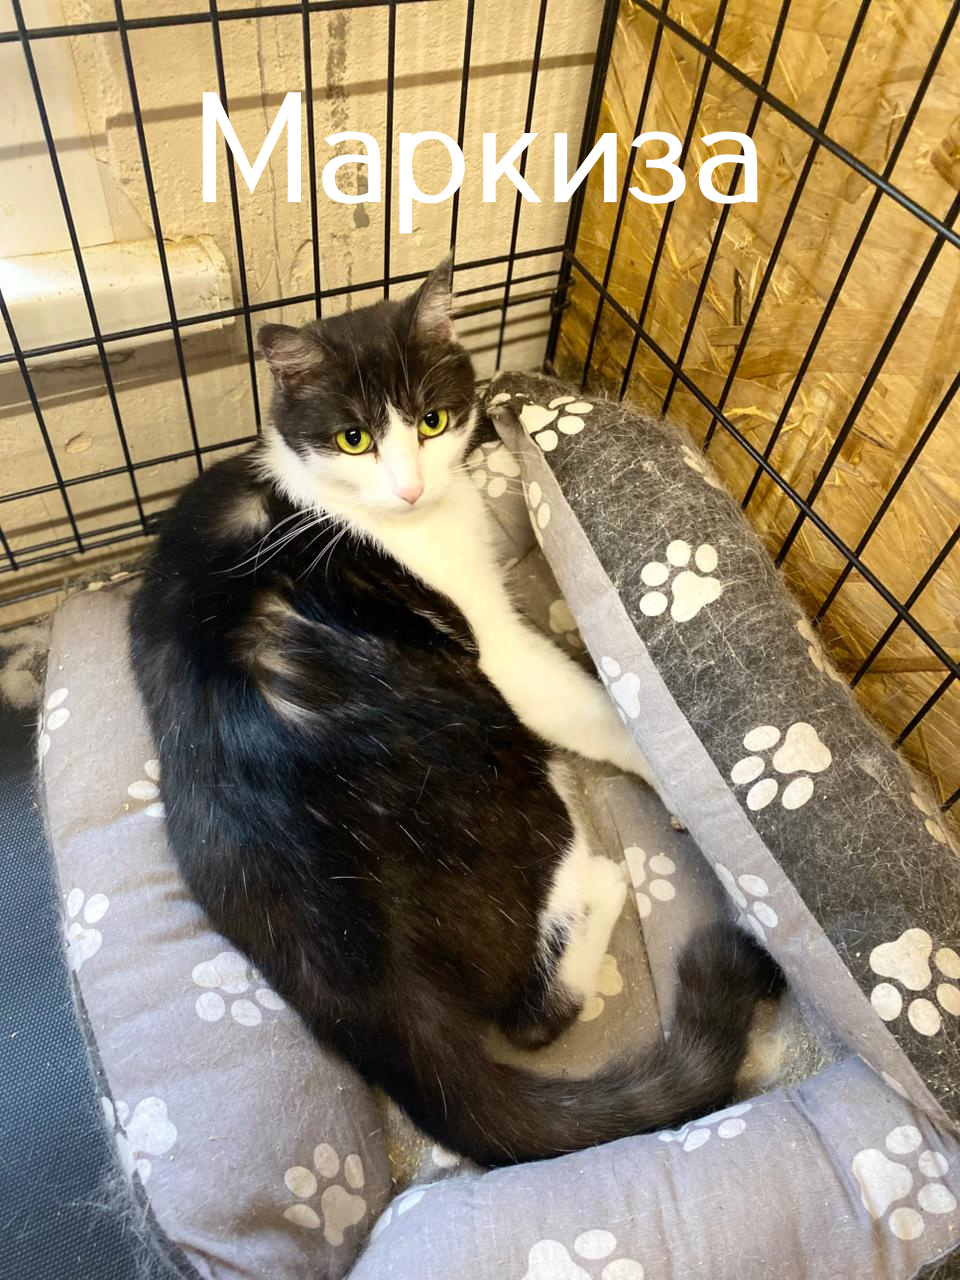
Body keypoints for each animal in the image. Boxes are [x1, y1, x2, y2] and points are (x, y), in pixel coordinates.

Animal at [129, 257, 782, 1167]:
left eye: (433, 421)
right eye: (355, 438)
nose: (410, 487)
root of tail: (344, 961)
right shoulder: (494, 645)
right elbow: (586, 702)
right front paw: (678, 777)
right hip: (499, 756)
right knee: (534, 1011)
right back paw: (607, 881)